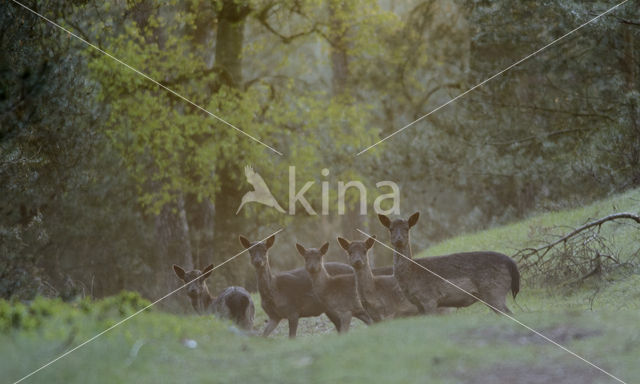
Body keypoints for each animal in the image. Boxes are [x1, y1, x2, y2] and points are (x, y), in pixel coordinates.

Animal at [376, 213, 520, 316]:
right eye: (390, 229)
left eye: (406, 228)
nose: (398, 240)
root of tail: (511, 263)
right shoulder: (418, 305)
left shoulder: (429, 299)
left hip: (494, 291)